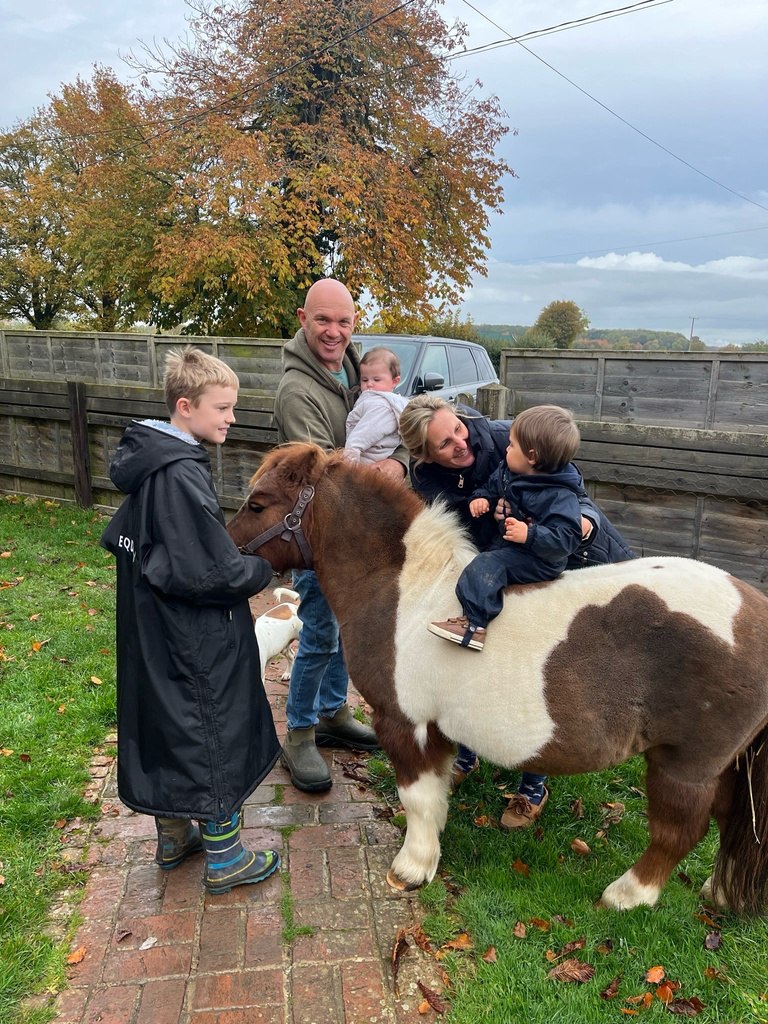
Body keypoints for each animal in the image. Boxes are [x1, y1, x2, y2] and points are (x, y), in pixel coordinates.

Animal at [227, 442, 768, 914]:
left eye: (257, 503)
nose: (228, 554)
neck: (406, 590)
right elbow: (436, 793)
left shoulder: (403, 723)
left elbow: (416, 797)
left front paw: (412, 867)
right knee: (730, 819)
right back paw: (719, 891)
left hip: (685, 766)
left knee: (680, 832)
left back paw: (626, 895)